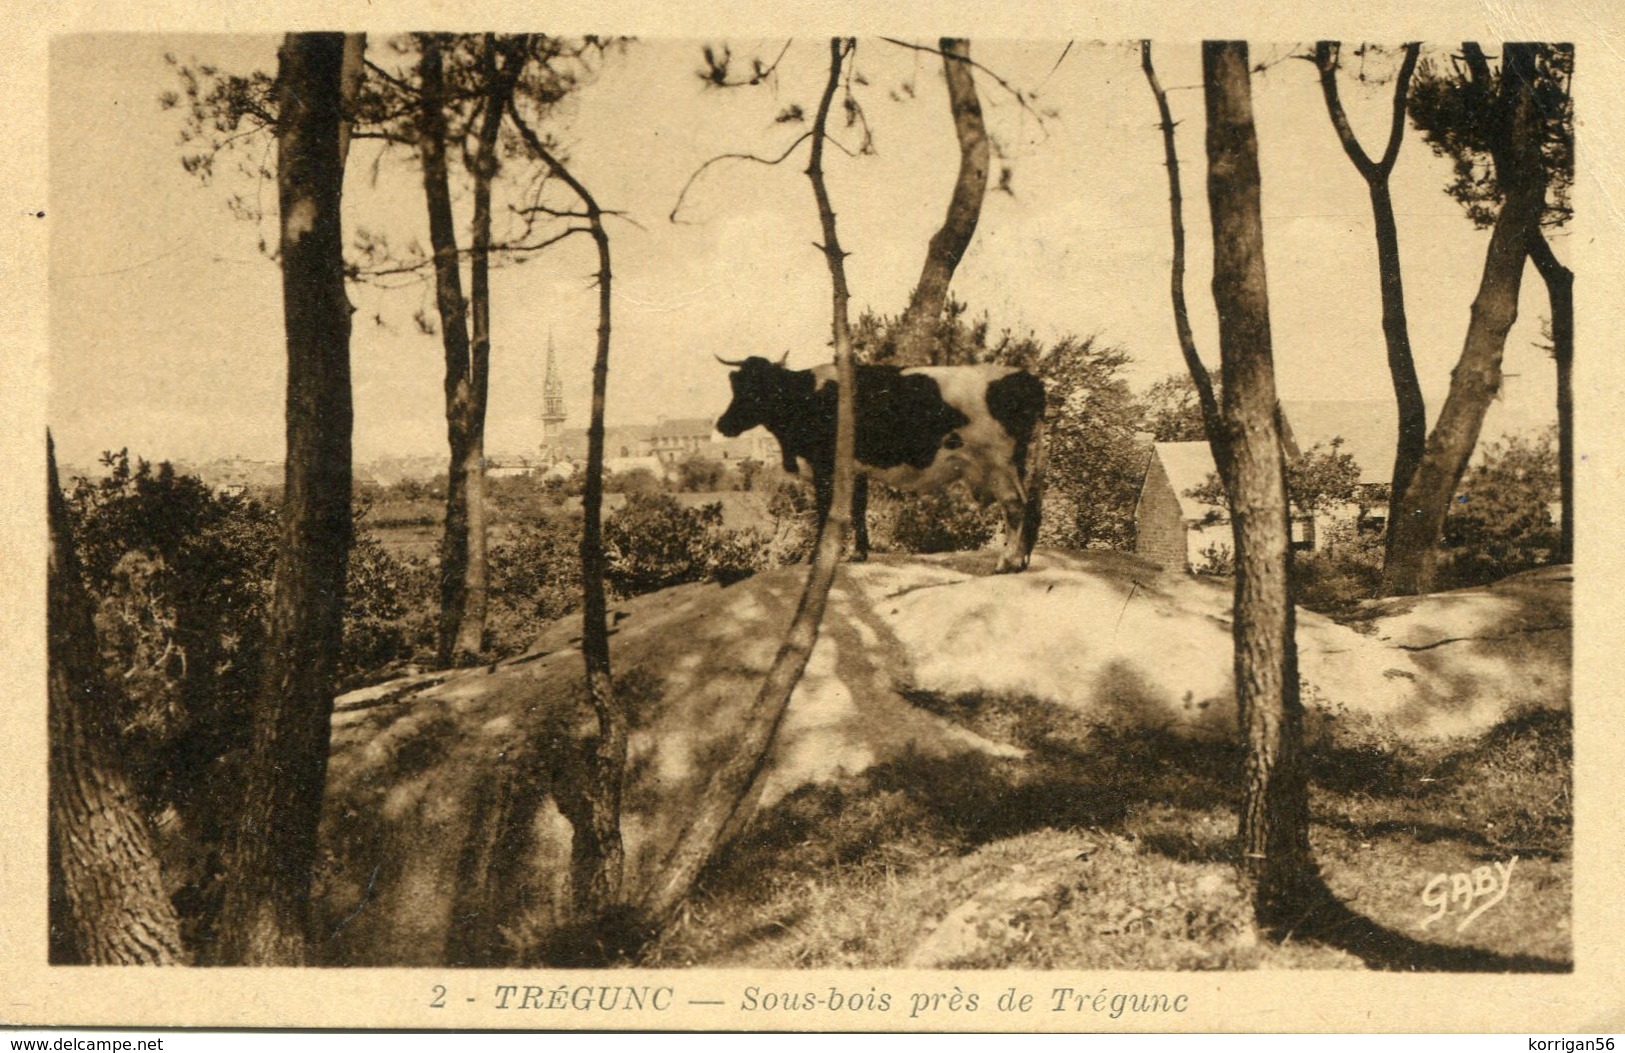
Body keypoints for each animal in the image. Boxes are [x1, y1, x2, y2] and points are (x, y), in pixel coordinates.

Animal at [718, 354, 1046, 572]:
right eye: (737, 386)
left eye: (756, 391)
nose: (723, 424)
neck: (806, 396)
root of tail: (1026, 378)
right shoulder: (856, 469)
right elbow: (858, 509)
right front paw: (859, 554)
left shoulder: (824, 465)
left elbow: (825, 510)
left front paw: (815, 558)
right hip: (1014, 463)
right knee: (1029, 505)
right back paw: (1022, 559)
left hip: (996, 463)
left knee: (1014, 505)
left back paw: (1007, 562)